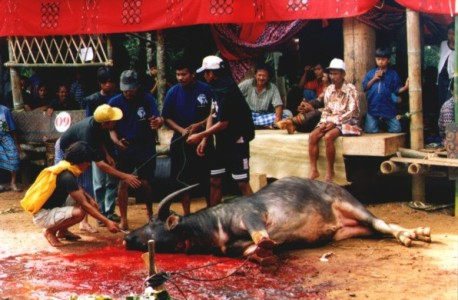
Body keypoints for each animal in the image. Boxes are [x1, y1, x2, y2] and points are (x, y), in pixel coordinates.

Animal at [124, 177, 430, 262]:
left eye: (152, 224)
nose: (127, 237)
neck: (215, 225)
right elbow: (253, 250)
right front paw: (264, 252)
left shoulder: (251, 216)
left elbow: (261, 235)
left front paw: (269, 245)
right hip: (350, 229)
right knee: (379, 228)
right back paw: (415, 233)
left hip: (350, 203)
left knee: (383, 224)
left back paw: (413, 234)